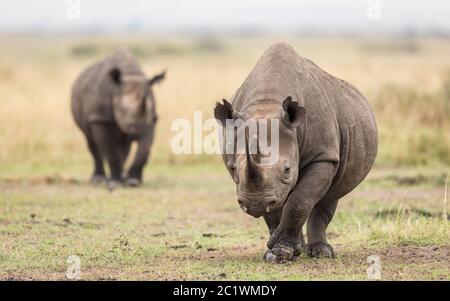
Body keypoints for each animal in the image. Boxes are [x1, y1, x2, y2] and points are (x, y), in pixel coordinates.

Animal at [71, 47, 165, 188]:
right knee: (91, 141)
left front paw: (133, 181)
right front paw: (115, 182)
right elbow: (111, 151)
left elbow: (143, 151)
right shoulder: (100, 118)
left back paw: (122, 177)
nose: (135, 129)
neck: (130, 75)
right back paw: (99, 179)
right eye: (120, 110)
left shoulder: (151, 121)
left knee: (124, 147)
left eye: (147, 108)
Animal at [214, 43, 376, 262]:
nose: (255, 204)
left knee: (327, 197)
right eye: (234, 170)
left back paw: (321, 253)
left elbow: (299, 202)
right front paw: (278, 253)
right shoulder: (263, 186)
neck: (266, 104)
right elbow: (275, 208)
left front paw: (281, 251)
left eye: (287, 170)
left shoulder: (323, 155)